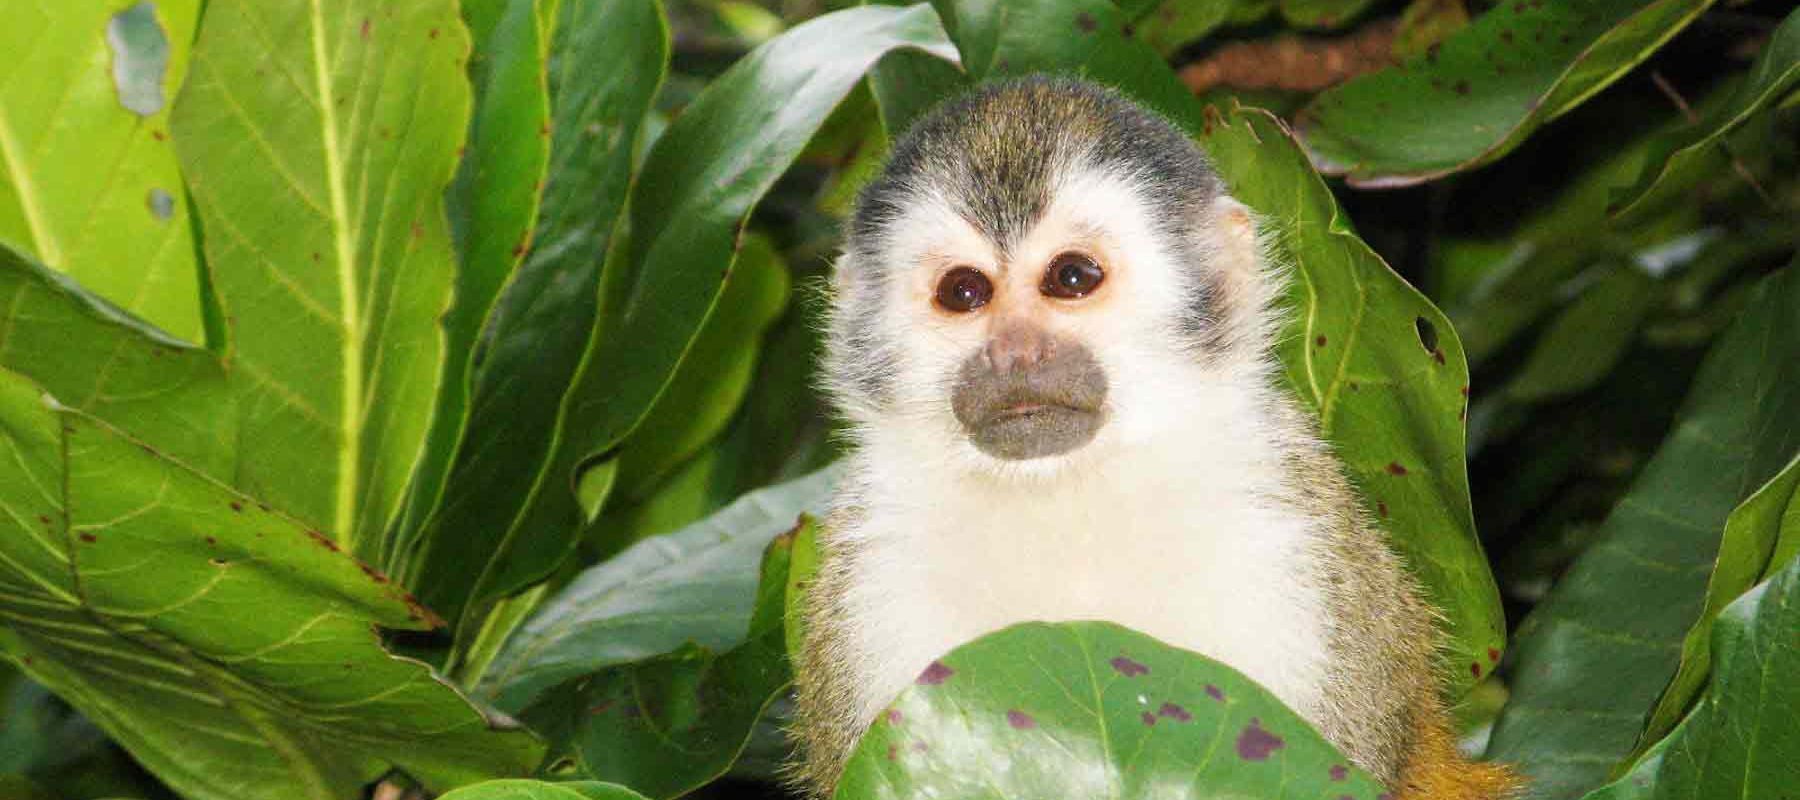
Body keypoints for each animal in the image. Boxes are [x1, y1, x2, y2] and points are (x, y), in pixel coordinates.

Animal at [795, 76, 1512, 800]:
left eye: (1071, 277)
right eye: (964, 291)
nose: (1014, 353)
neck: (1067, 498)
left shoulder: (1295, 543)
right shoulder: (867, 580)